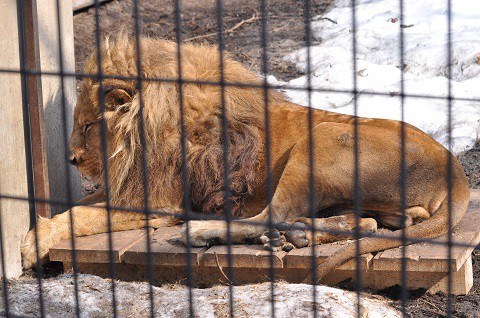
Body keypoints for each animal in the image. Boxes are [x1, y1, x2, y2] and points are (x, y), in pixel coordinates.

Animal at [21, 35, 468, 284]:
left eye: (88, 125)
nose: (72, 159)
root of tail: (455, 169)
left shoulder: (157, 202)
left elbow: (80, 215)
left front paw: (31, 246)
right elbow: (75, 207)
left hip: (320, 139)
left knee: (268, 215)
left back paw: (202, 233)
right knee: (372, 223)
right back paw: (299, 236)